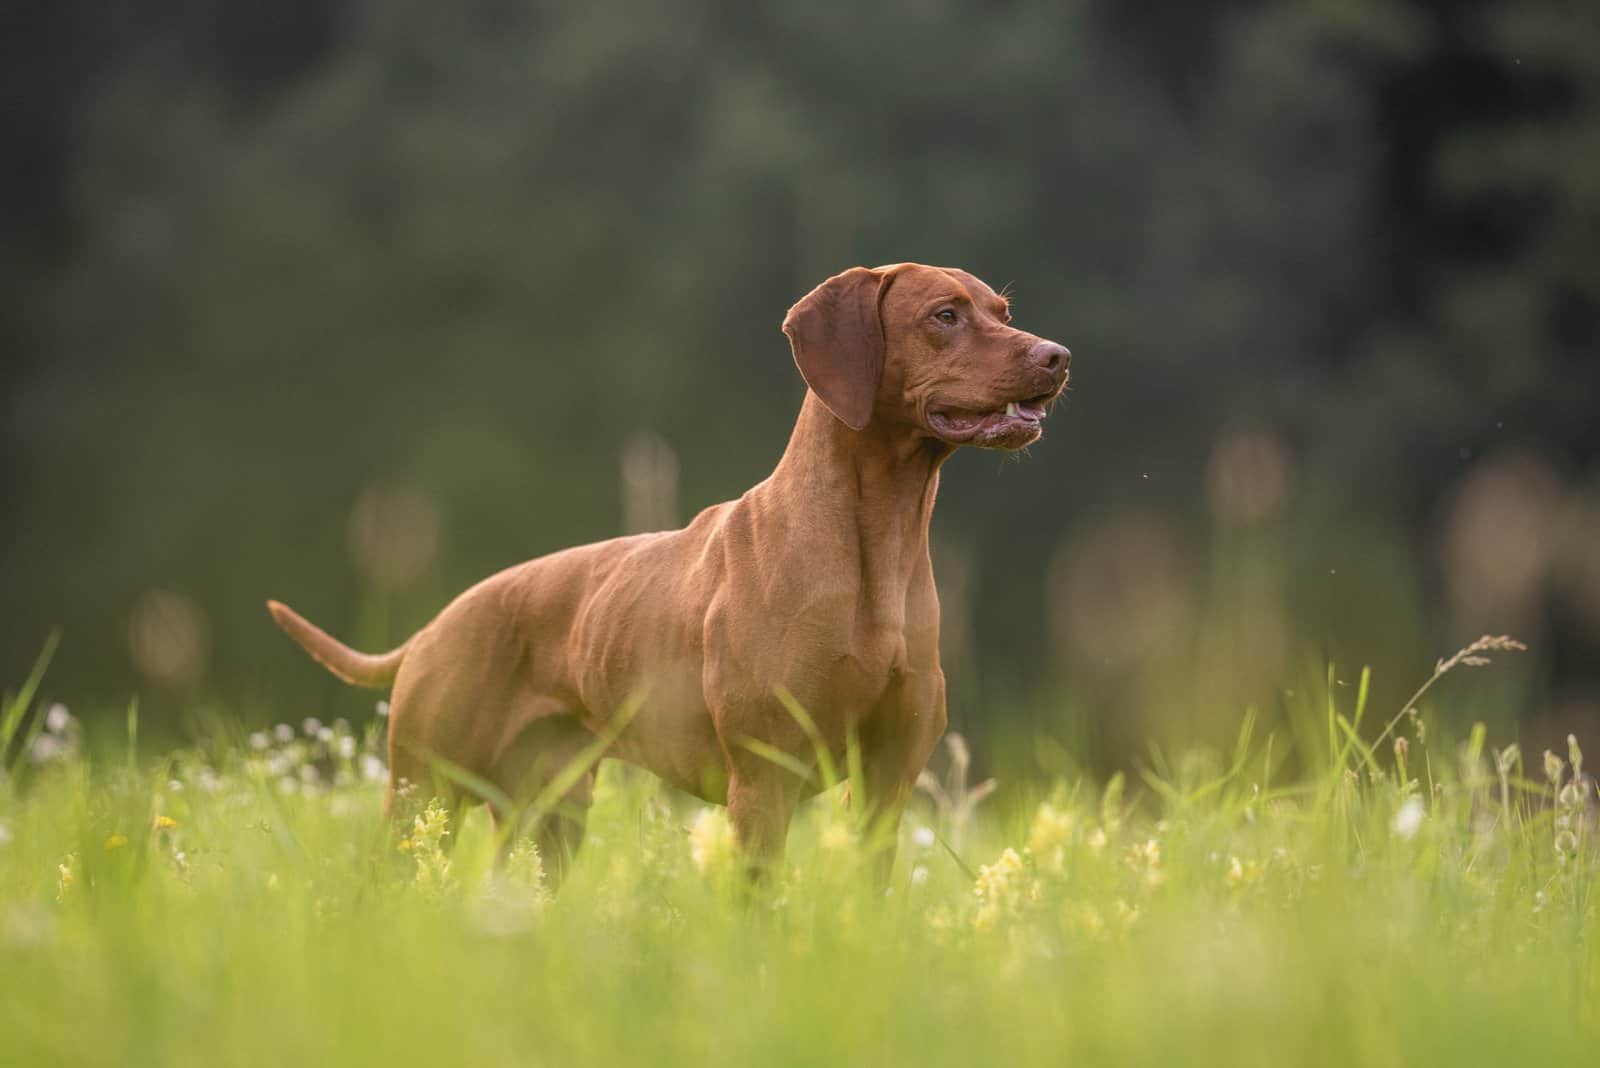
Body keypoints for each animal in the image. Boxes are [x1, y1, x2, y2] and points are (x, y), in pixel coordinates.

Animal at [268, 262, 1068, 882]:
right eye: (944, 315)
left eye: (1003, 312)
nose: (1058, 355)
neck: (875, 547)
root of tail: (436, 625)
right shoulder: (763, 781)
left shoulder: (887, 782)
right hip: (422, 793)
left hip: (547, 818)